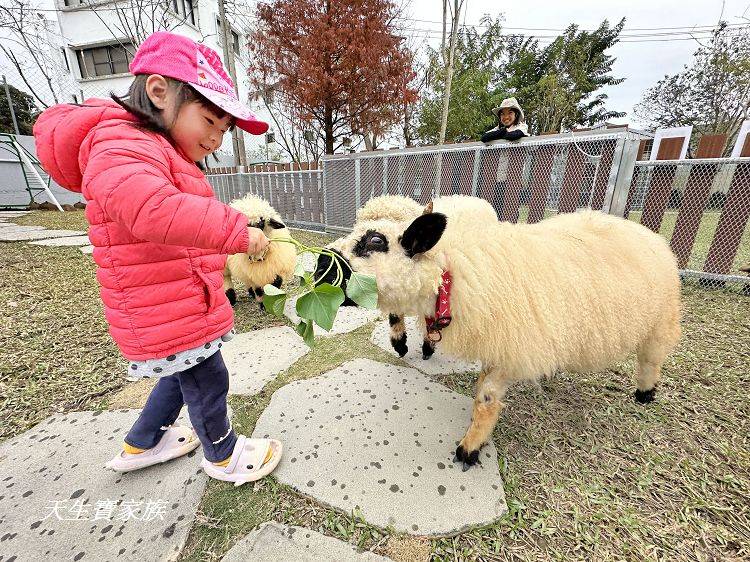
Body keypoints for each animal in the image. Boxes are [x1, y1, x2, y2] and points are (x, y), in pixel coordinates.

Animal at [338, 203, 684, 466]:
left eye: (375, 241)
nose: (325, 264)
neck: (453, 274)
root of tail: (649, 234)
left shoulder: (511, 346)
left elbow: (487, 397)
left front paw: (470, 448)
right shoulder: (498, 343)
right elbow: (481, 386)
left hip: (660, 319)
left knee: (651, 358)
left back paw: (645, 394)